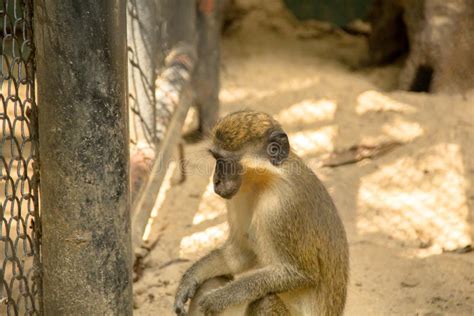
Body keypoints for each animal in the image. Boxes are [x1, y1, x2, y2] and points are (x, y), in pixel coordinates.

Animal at [174, 110, 348, 314]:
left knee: (266, 301)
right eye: (216, 159)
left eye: (225, 162)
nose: (215, 181)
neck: (265, 180)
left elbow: (301, 273)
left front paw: (219, 298)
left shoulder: (282, 206)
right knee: (211, 281)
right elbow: (241, 252)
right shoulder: (238, 196)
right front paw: (190, 278)